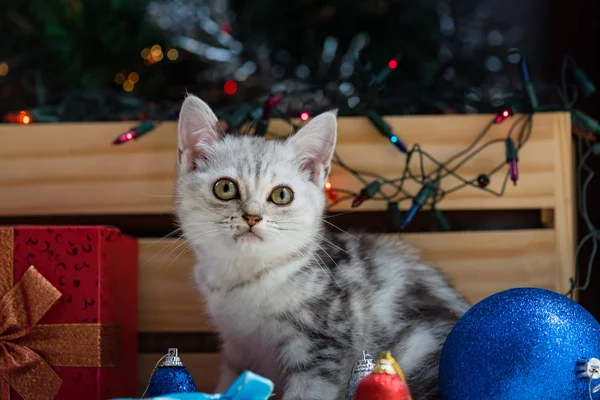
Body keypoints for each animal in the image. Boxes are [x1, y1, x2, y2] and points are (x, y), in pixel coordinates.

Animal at [176, 95, 472, 398]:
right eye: (225, 188)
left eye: (282, 195)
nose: (252, 217)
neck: (245, 277)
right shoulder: (236, 348)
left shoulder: (324, 347)